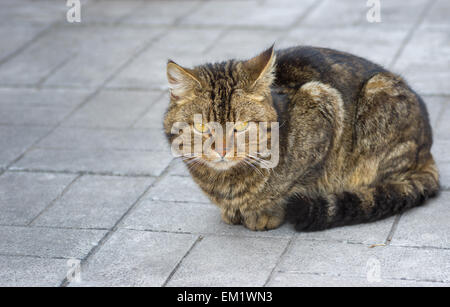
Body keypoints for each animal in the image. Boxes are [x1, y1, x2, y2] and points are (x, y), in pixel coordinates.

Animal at [163, 45, 440, 232]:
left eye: (240, 126)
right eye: (201, 126)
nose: (221, 150)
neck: (225, 182)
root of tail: (427, 151)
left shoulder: (324, 106)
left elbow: (295, 185)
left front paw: (265, 213)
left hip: (376, 102)